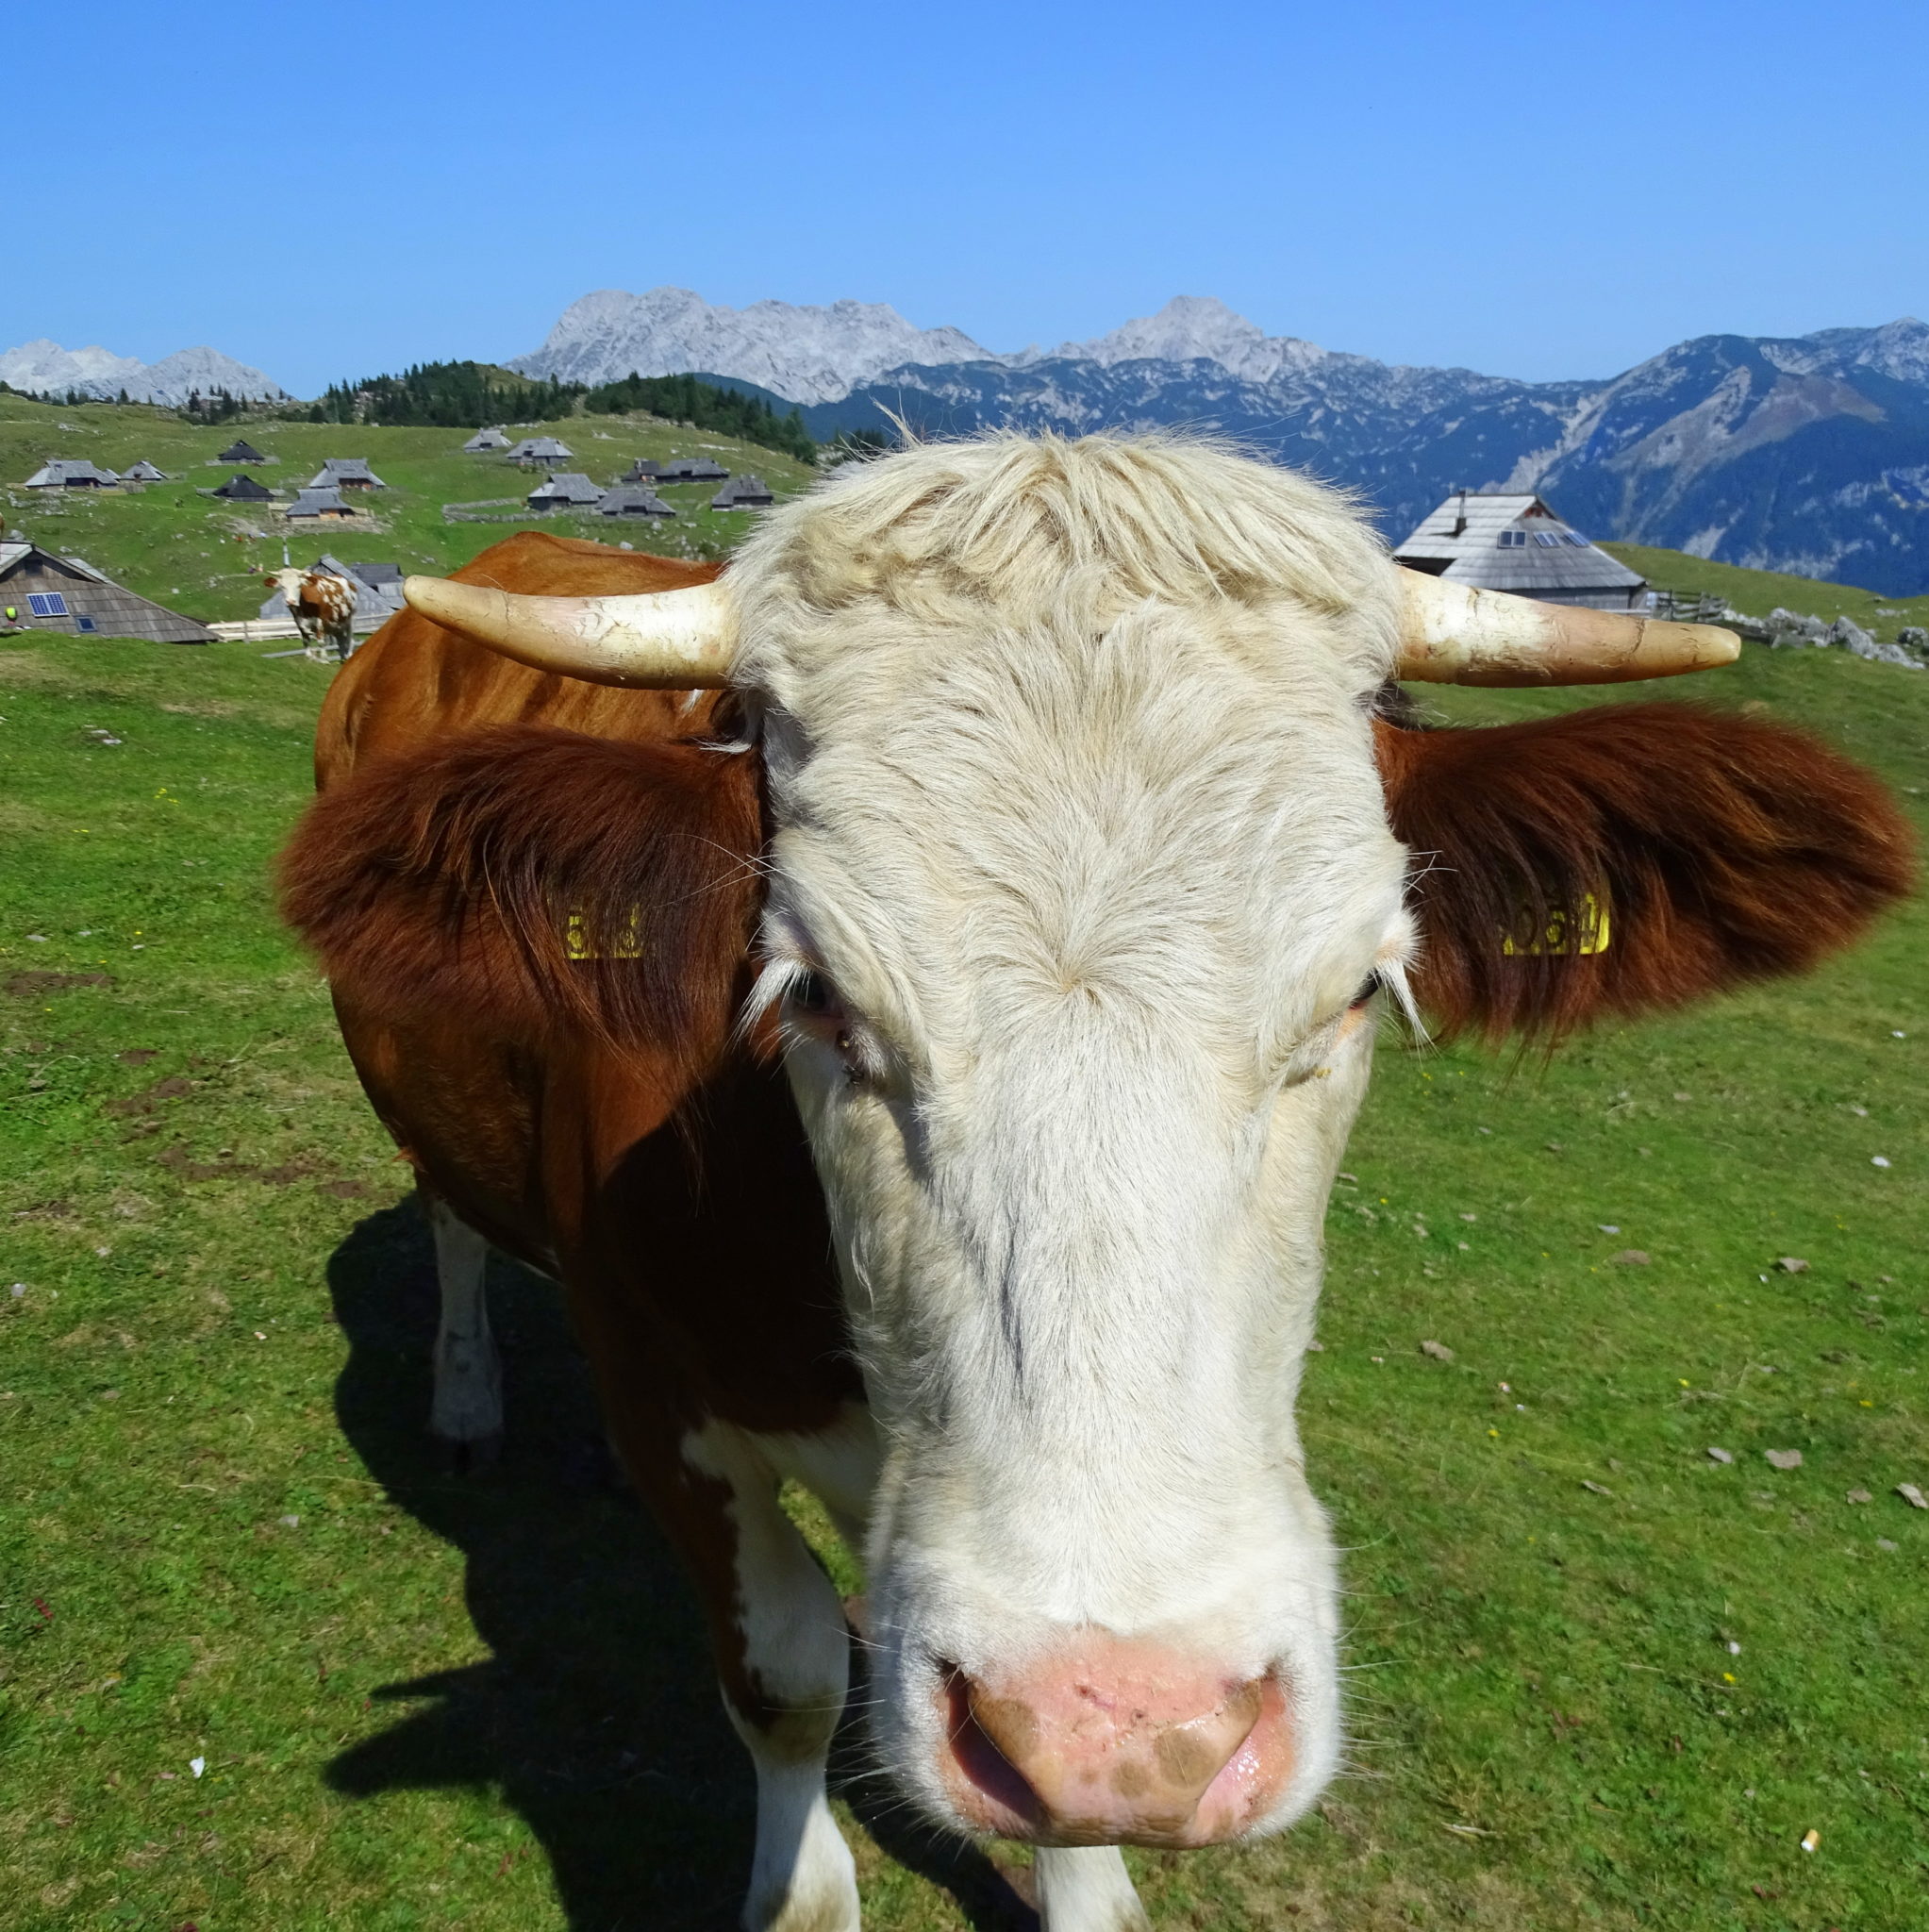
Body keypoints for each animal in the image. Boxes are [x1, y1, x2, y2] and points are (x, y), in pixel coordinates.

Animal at [275, 438, 1915, 1932]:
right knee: (450, 1217)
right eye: (811, 993)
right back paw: (468, 1398)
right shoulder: (650, 1374)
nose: (1119, 1721)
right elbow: (791, 1681)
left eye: (1360, 991)